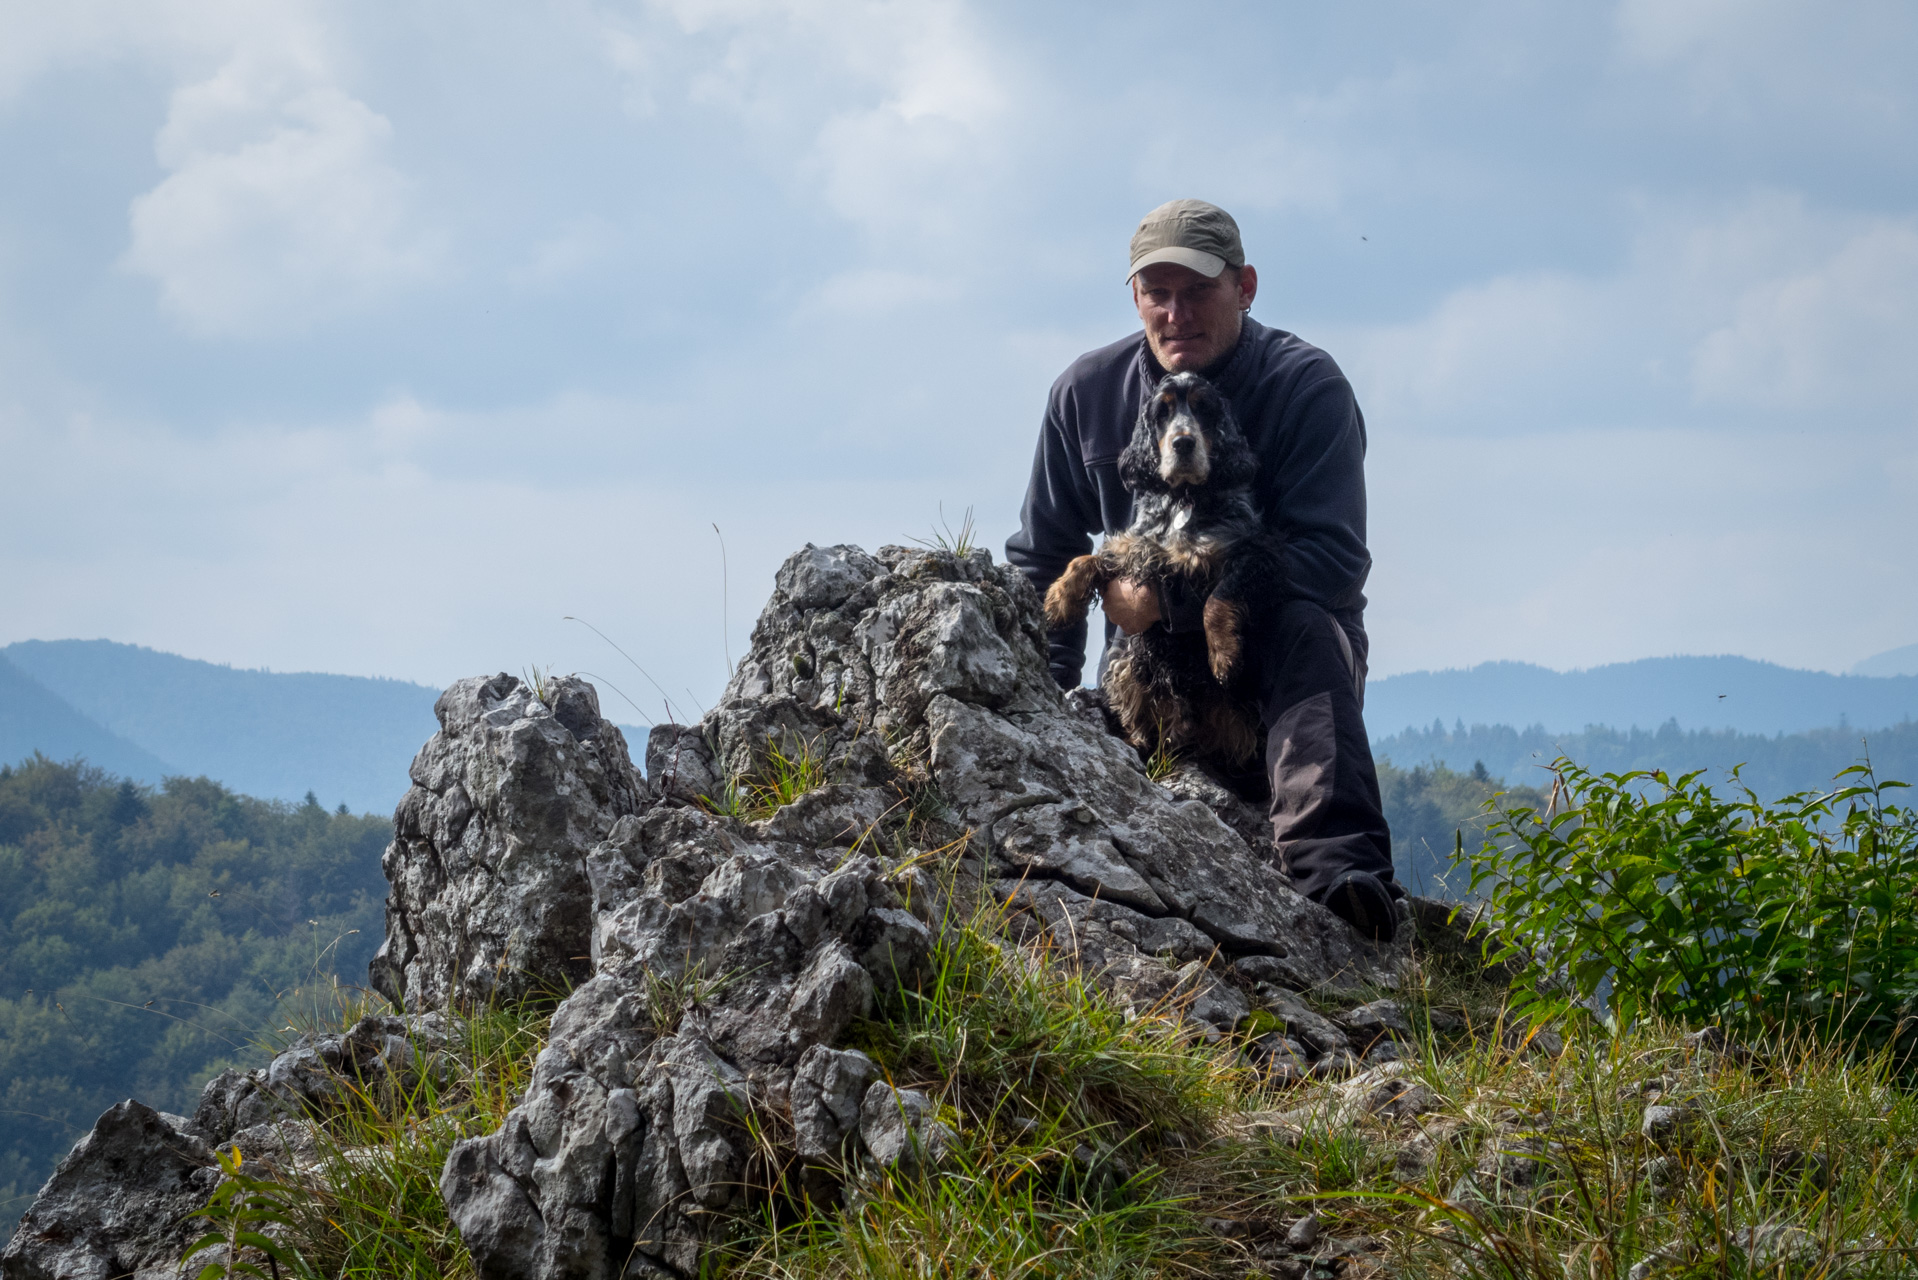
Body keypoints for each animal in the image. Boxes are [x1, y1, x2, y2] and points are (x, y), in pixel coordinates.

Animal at [1043, 372, 1281, 771]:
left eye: (1203, 408)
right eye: (1162, 412)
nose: (1183, 443)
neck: (1183, 499)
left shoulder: (1252, 552)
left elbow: (1216, 601)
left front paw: (1224, 654)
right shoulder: (1139, 550)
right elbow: (1088, 559)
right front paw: (1060, 599)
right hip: (1127, 658)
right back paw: (1136, 742)